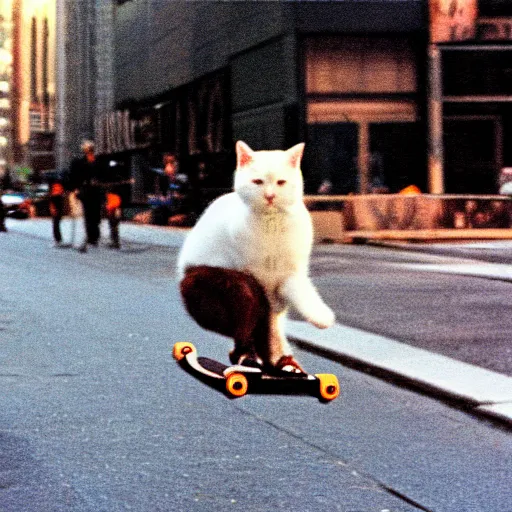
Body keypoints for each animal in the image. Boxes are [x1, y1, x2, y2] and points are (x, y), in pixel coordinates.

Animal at [178, 140, 334, 372]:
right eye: (258, 182)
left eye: (281, 182)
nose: (270, 196)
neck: (272, 223)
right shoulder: (259, 276)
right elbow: (269, 324)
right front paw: (274, 356)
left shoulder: (291, 274)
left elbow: (301, 297)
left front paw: (321, 318)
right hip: (219, 283)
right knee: (245, 318)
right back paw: (248, 358)